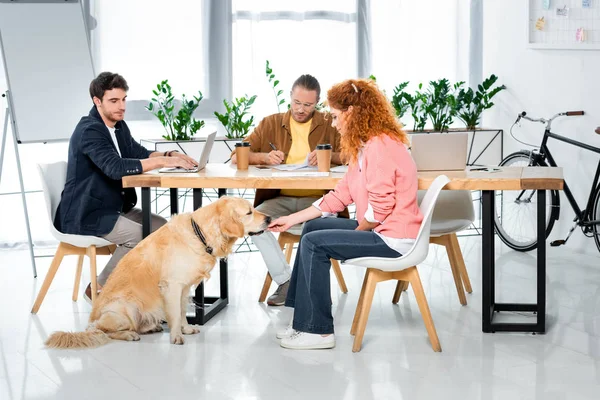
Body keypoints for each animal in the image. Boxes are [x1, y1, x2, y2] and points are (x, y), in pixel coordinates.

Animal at [45, 196, 270, 346]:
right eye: (249, 212)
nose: (268, 219)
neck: (200, 234)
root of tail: (90, 323)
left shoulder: (184, 287)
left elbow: (182, 311)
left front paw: (186, 329)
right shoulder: (172, 286)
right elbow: (175, 314)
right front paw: (176, 336)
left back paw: (151, 327)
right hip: (123, 308)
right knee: (105, 331)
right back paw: (129, 334)